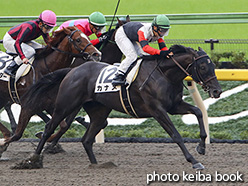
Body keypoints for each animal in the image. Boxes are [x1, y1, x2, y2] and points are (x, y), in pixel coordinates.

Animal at [14, 45, 222, 170]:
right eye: (203, 67)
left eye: (212, 66)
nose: (217, 91)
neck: (165, 74)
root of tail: (73, 70)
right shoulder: (157, 110)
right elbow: (175, 135)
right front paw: (194, 161)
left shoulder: (174, 105)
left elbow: (198, 112)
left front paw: (201, 147)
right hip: (65, 105)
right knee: (50, 128)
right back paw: (33, 160)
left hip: (99, 111)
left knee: (87, 139)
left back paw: (97, 165)